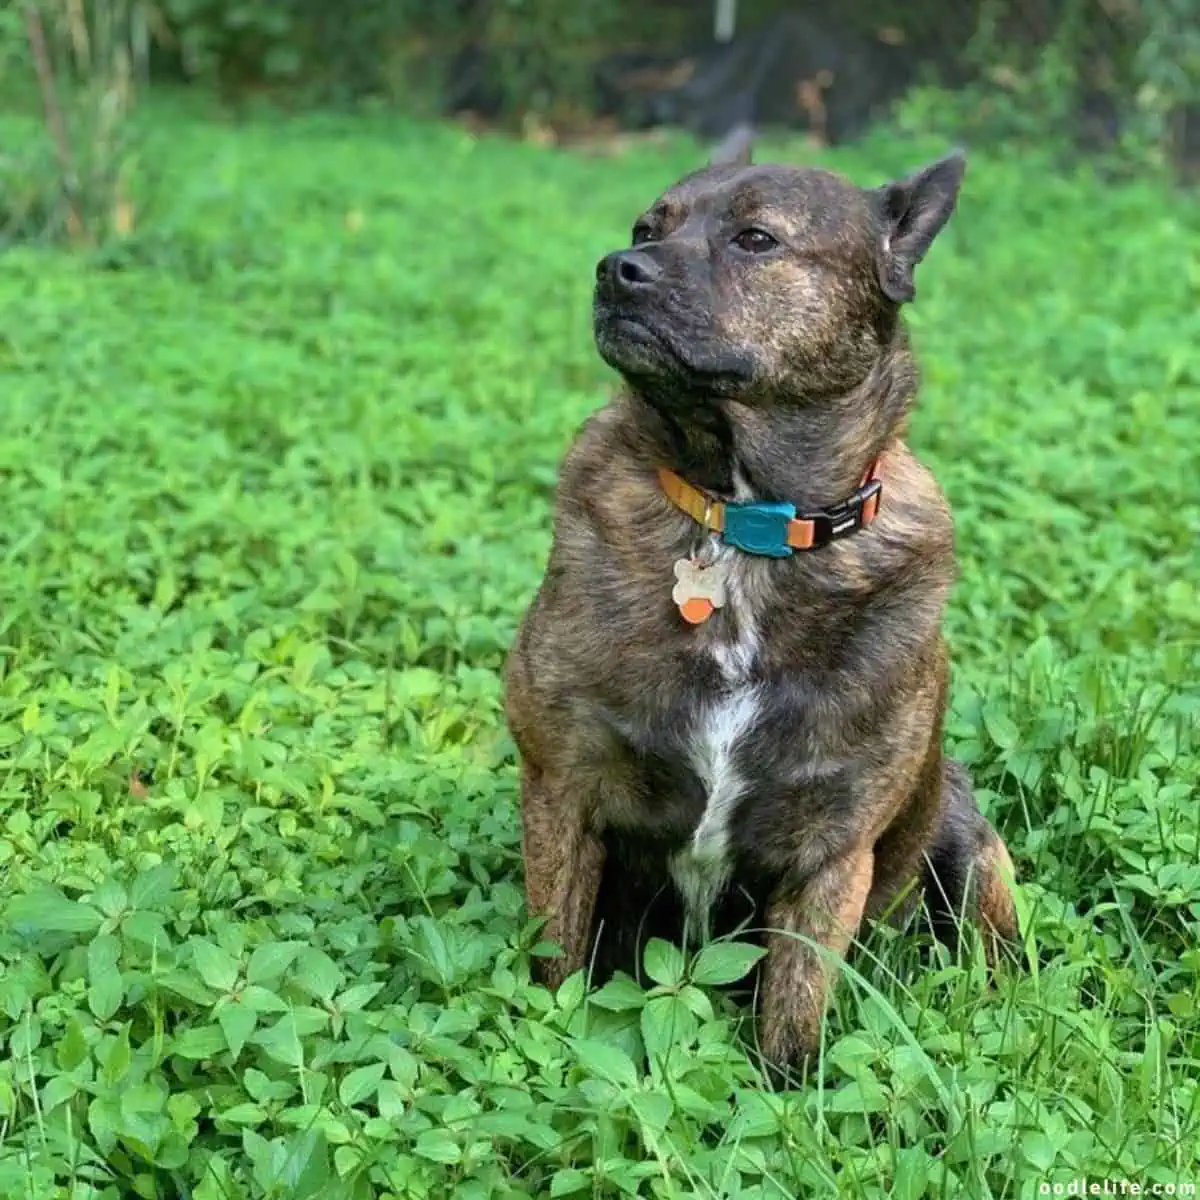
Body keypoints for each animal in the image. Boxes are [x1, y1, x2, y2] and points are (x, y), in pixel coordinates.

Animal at [506, 129, 1022, 1070]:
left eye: (756, 240)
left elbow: (792, 1011)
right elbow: (554, 965)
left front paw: (790, 1093)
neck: (745, 522)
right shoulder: (562, 789)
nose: (616, 269)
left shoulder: (833, 854)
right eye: (646, 226)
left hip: (973, 849)